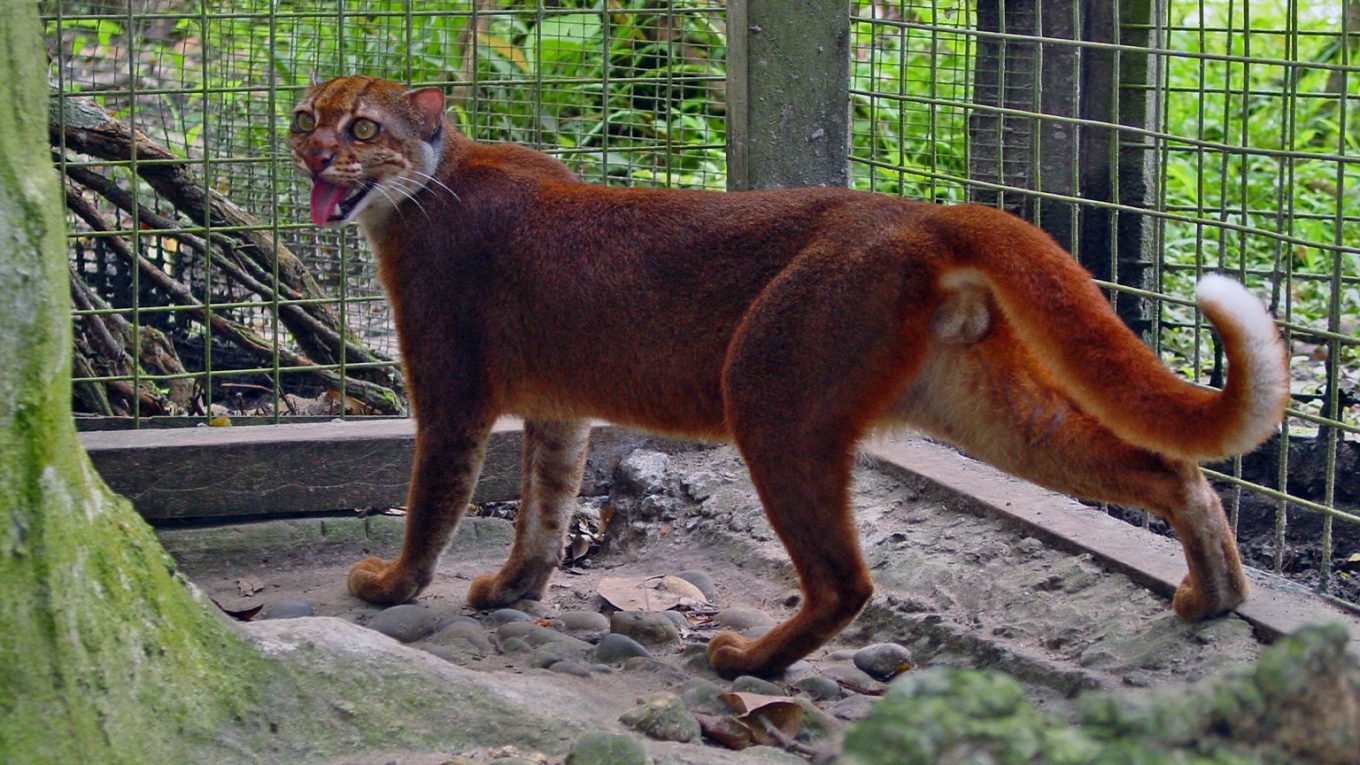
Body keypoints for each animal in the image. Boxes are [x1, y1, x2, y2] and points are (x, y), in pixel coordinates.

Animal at [286, 75, 1283, 672]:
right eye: (305, 116)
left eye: (363, 126)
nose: (314, 153)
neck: (428, 182)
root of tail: (923, 215)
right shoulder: (560, 414)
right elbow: (546, 506)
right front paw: (512, 589)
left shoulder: (450, 390)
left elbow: (435, 496)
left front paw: (392, 584)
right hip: (978, 404)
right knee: (1170, 467)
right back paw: (1217, 595)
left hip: (767, 392)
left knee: (846, 579)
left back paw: (747, 657)